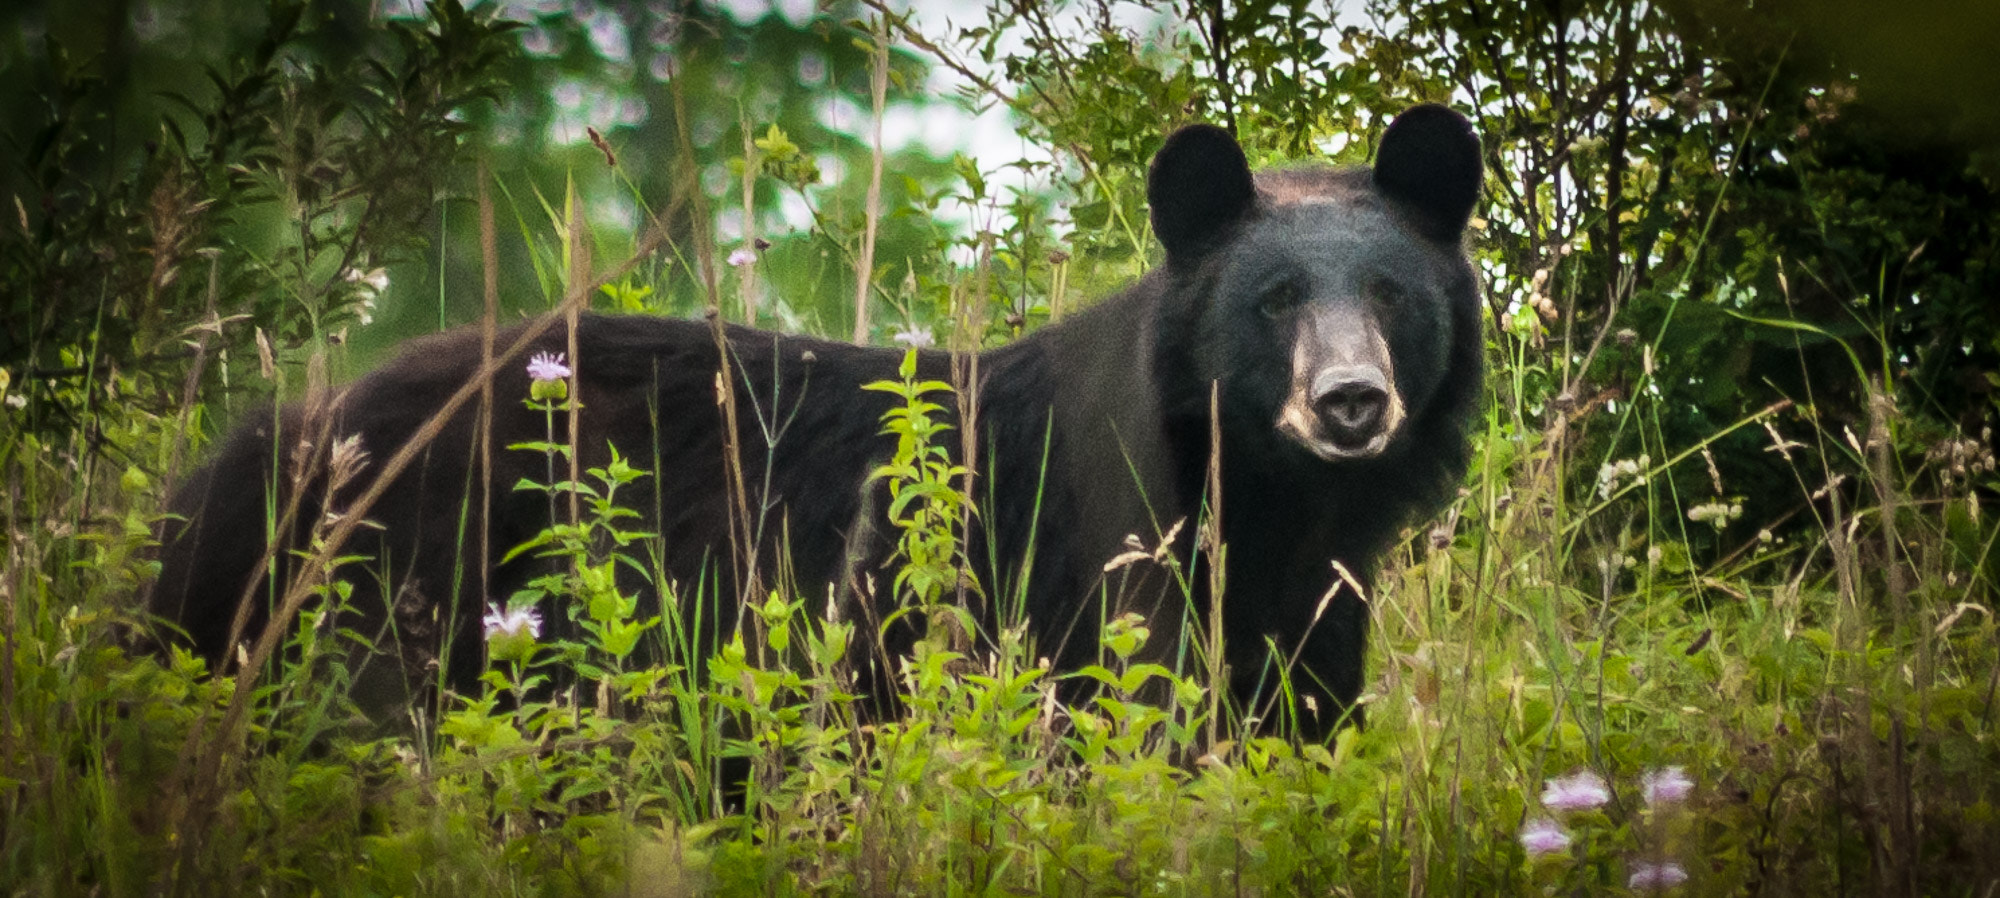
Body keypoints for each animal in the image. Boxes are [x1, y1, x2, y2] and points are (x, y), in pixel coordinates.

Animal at [149, 103, 1485, 742]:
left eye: (1388, 293)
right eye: (1273, 299)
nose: (1349, 401)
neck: (1264, 501)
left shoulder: (1304, 603)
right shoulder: (1067, 575)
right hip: (398, 602)